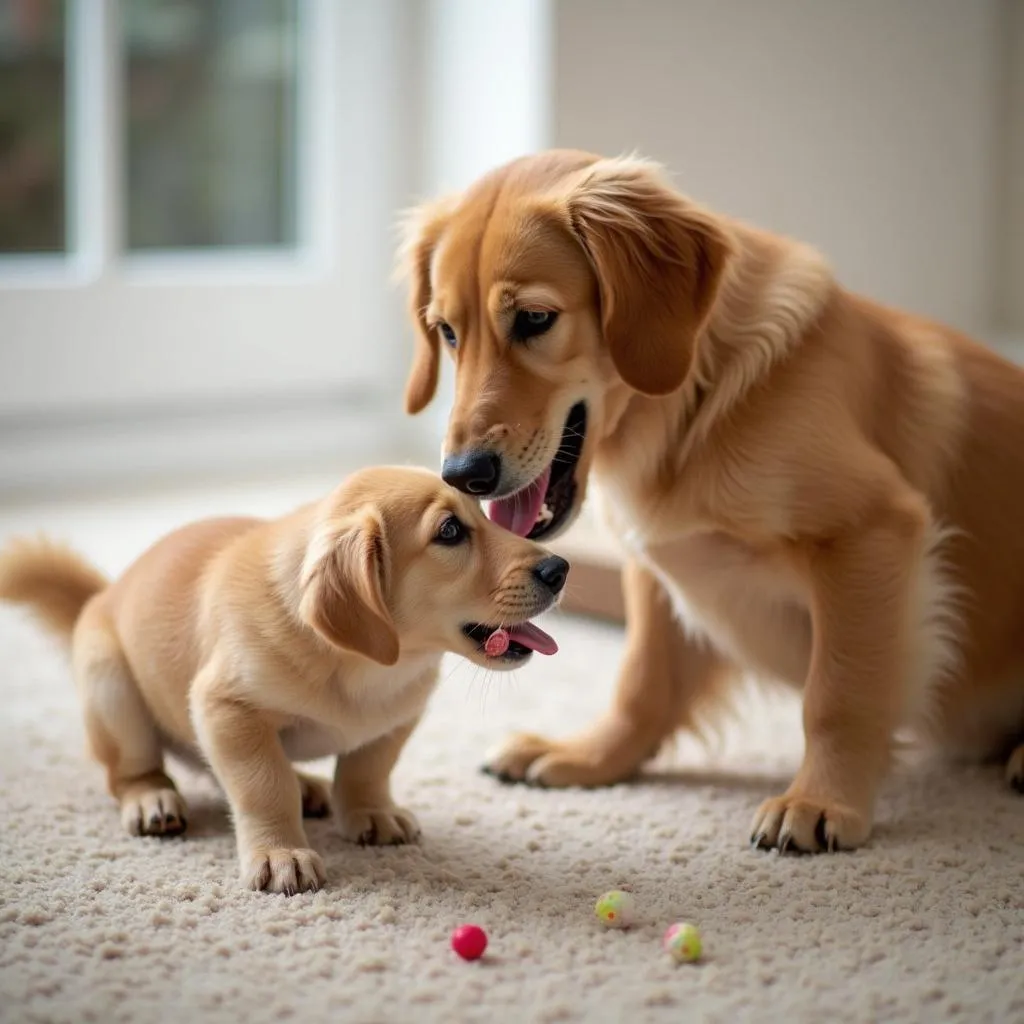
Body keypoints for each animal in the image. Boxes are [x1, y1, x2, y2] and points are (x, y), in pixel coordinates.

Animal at [0, 468, 569, 892]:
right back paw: (152, 799)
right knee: (132, 770)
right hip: (111, 689)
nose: (560, 568)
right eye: (449, 532)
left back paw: (310, 787)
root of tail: (102, 595)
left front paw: (369, 812)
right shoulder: (225, 708)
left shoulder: (399, 717)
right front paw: (281, 852)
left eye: (484, 515)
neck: (368, 666)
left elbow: (367, 768)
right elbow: (261, 785)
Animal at [397, 148, 1024, 851]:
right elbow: (642, 680)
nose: (462, 474)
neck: (695, 404)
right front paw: (592, 757)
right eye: (447, 332)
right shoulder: (657, 569)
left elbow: (838, 694)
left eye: (534, 319)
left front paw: (822, 800)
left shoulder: (871, 531)